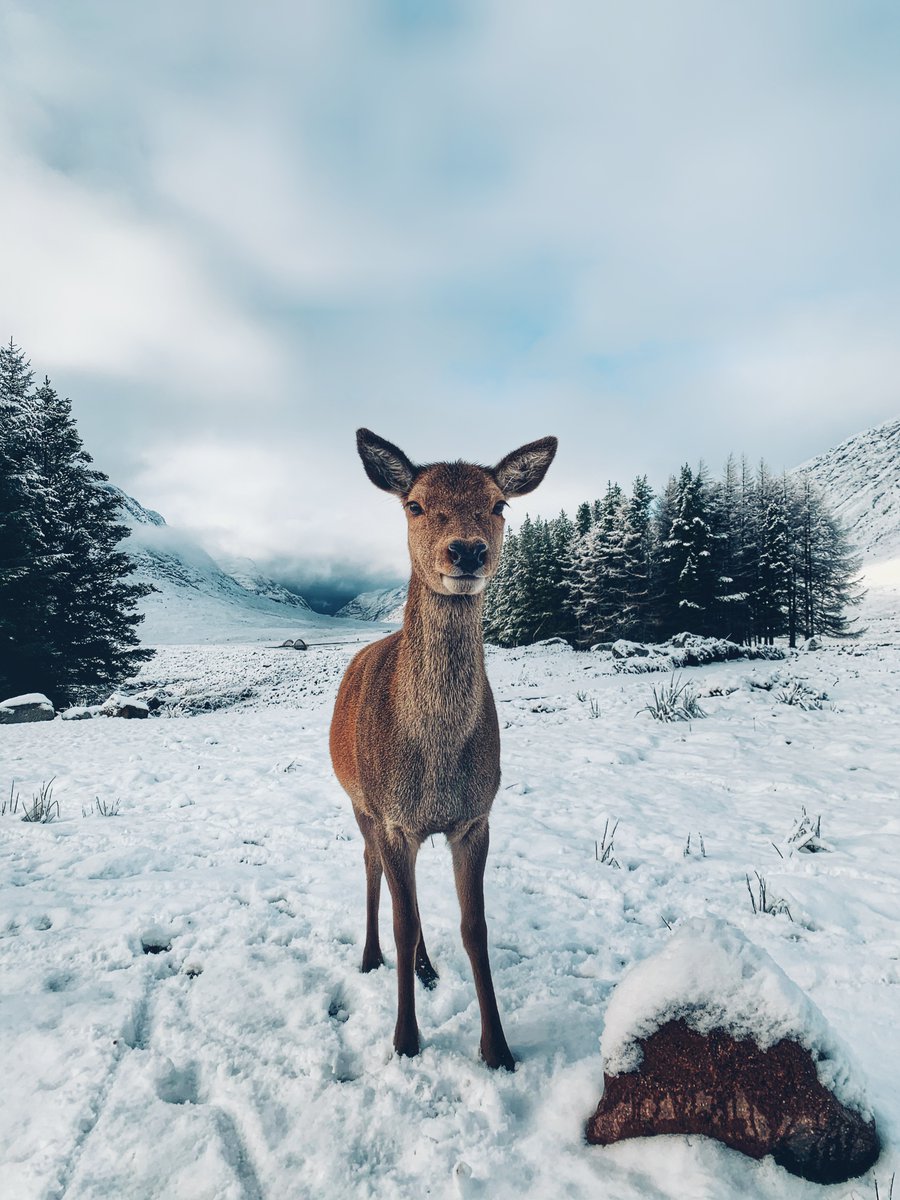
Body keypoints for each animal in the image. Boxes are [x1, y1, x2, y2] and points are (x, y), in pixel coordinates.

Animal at [330, 428, 557, 1070]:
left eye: (499, 505)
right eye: (415, 505)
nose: (467, 552)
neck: (433, 760)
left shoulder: (475, 817)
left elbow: (473, 927)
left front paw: (497, 1048)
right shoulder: (391, 816)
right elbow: (403, 922)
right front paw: (405, 1040)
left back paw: (428, 969)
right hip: (359, 802)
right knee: (372, 870)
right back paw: (372, 956)